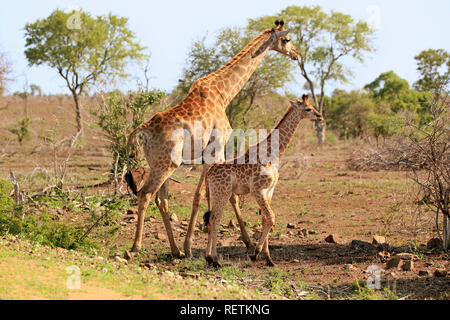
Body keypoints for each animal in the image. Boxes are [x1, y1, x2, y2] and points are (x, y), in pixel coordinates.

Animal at [125, 20, 298, 258]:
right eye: (287, 39)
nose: (297, 55)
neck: (223, 93)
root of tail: (144, 130)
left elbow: (216, 194)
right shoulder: (216, 148)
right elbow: (204, 195)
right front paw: (194, 246)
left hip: (159, 165)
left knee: (162, 199)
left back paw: (175, 250)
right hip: (167, 165)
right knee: (145, 194)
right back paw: (137, 246)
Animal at [204, 95, 324, 268]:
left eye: (313, 107)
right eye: (308, 109)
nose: (320, 116)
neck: (272, 154)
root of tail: (208, 174)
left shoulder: (269, 191)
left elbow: (265, 219)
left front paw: (268, 258)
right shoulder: (257, 190)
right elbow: (271, 218)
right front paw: (255, 253)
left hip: (217, 193)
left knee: (211, 220)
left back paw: (209, 258)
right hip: (222, 193)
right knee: (214, 220)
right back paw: (214, 259)